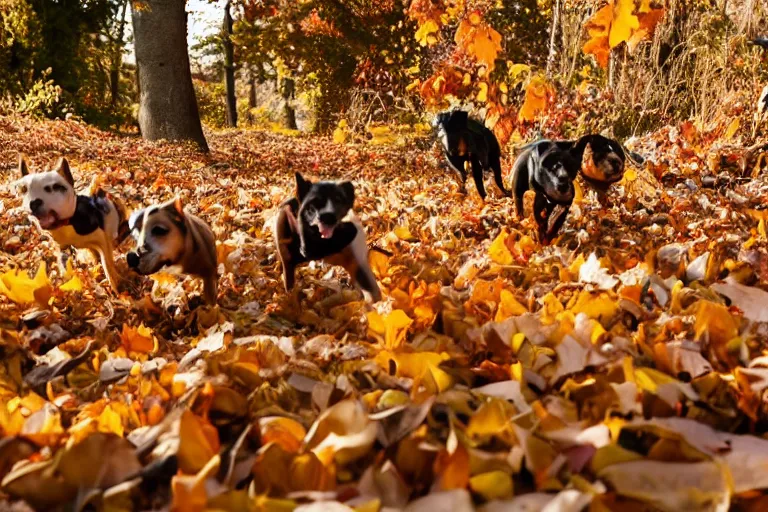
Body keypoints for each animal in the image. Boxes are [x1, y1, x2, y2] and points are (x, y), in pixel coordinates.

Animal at [15, 155, 129, 292]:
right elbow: (63, 261)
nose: (34, 203)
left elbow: (107, 263)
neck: (66, 224)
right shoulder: (61, 246)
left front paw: (116, 285)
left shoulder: (102, 240)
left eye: (55, 187)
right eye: (24, 189)